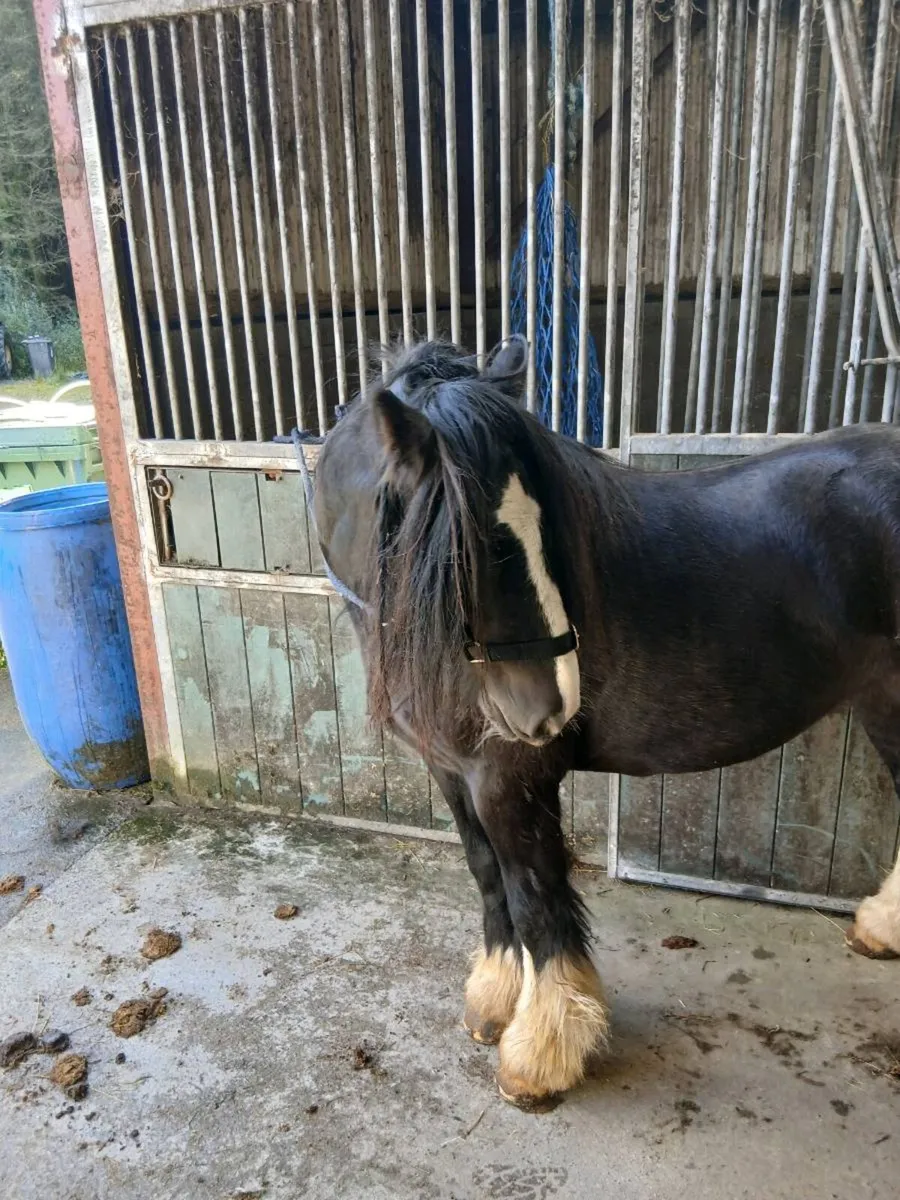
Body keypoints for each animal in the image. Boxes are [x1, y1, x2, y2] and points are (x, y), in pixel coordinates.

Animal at [312, 336, 900, 1111]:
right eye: (471, 545)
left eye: (544, 531)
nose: (551, 706)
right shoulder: (452, 774)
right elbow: (488, 878)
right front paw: (494, 1000)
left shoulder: (509, 780)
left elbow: (536, 899)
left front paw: (541, 1054)